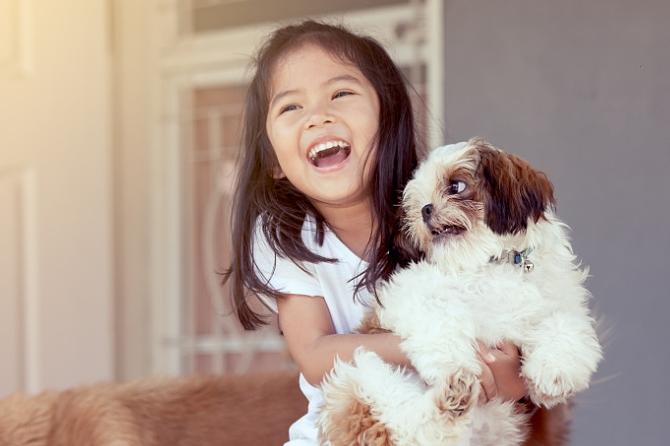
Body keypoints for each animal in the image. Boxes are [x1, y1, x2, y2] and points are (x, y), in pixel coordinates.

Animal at [318, 139, 604, 446]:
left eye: (456, 186)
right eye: (416, 202)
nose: (425, 209)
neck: (494, 263)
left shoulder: (561, 303)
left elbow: (564, 325)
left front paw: (555, 373)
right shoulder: (410, 292)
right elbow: (440, 315)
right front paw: (452, 362)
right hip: (360, 376)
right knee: (413, 425)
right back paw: (453, 393)